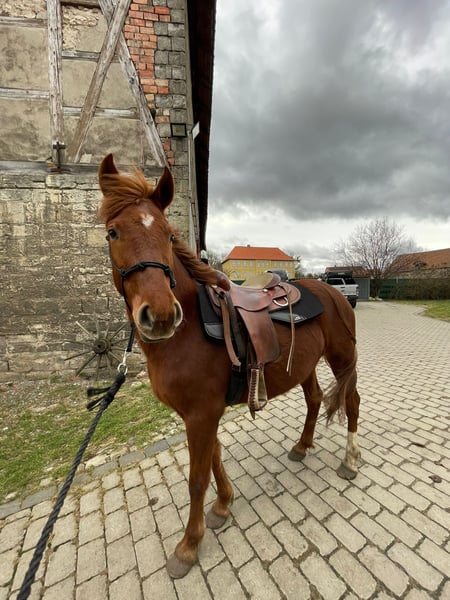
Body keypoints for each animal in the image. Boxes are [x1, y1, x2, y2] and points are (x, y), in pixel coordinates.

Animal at [98, 154, 361, 578]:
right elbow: (216, 459)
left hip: (342, 359)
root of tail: (332, 290)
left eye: (169, 235)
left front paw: (189, 545)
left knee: (351, 401)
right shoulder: (200, 415)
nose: (159, 315)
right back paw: (302, 447)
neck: (188, 329)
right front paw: (223, 506)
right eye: (112, 233)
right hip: (306, 366)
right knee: (316, 399)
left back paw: (350, 461)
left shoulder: (201, 415)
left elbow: (196, 478)